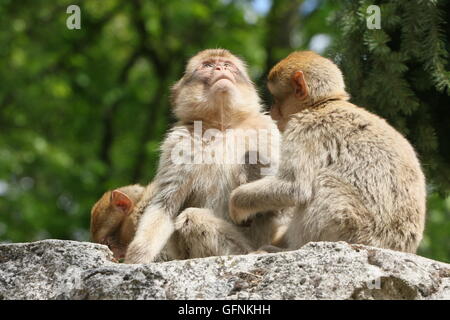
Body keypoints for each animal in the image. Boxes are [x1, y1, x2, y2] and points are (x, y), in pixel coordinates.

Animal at [125, 48, 282, 264]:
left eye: (227, 65)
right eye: (208, 65)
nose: (220, 68)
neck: (222, 126)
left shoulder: (267, 130)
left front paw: (253, 164)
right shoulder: (178, 143)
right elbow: (165, 205)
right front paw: (137, 258)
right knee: (191, 218)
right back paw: (248, 253)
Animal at [230, 51, 428, 254]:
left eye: (277, 98)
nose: (272, 111)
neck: (323, 104)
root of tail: (398, 247)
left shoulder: (305, 128)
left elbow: (295, 187)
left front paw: (236, 203)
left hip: (353, 228)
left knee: (323, 181)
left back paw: (292, 247)